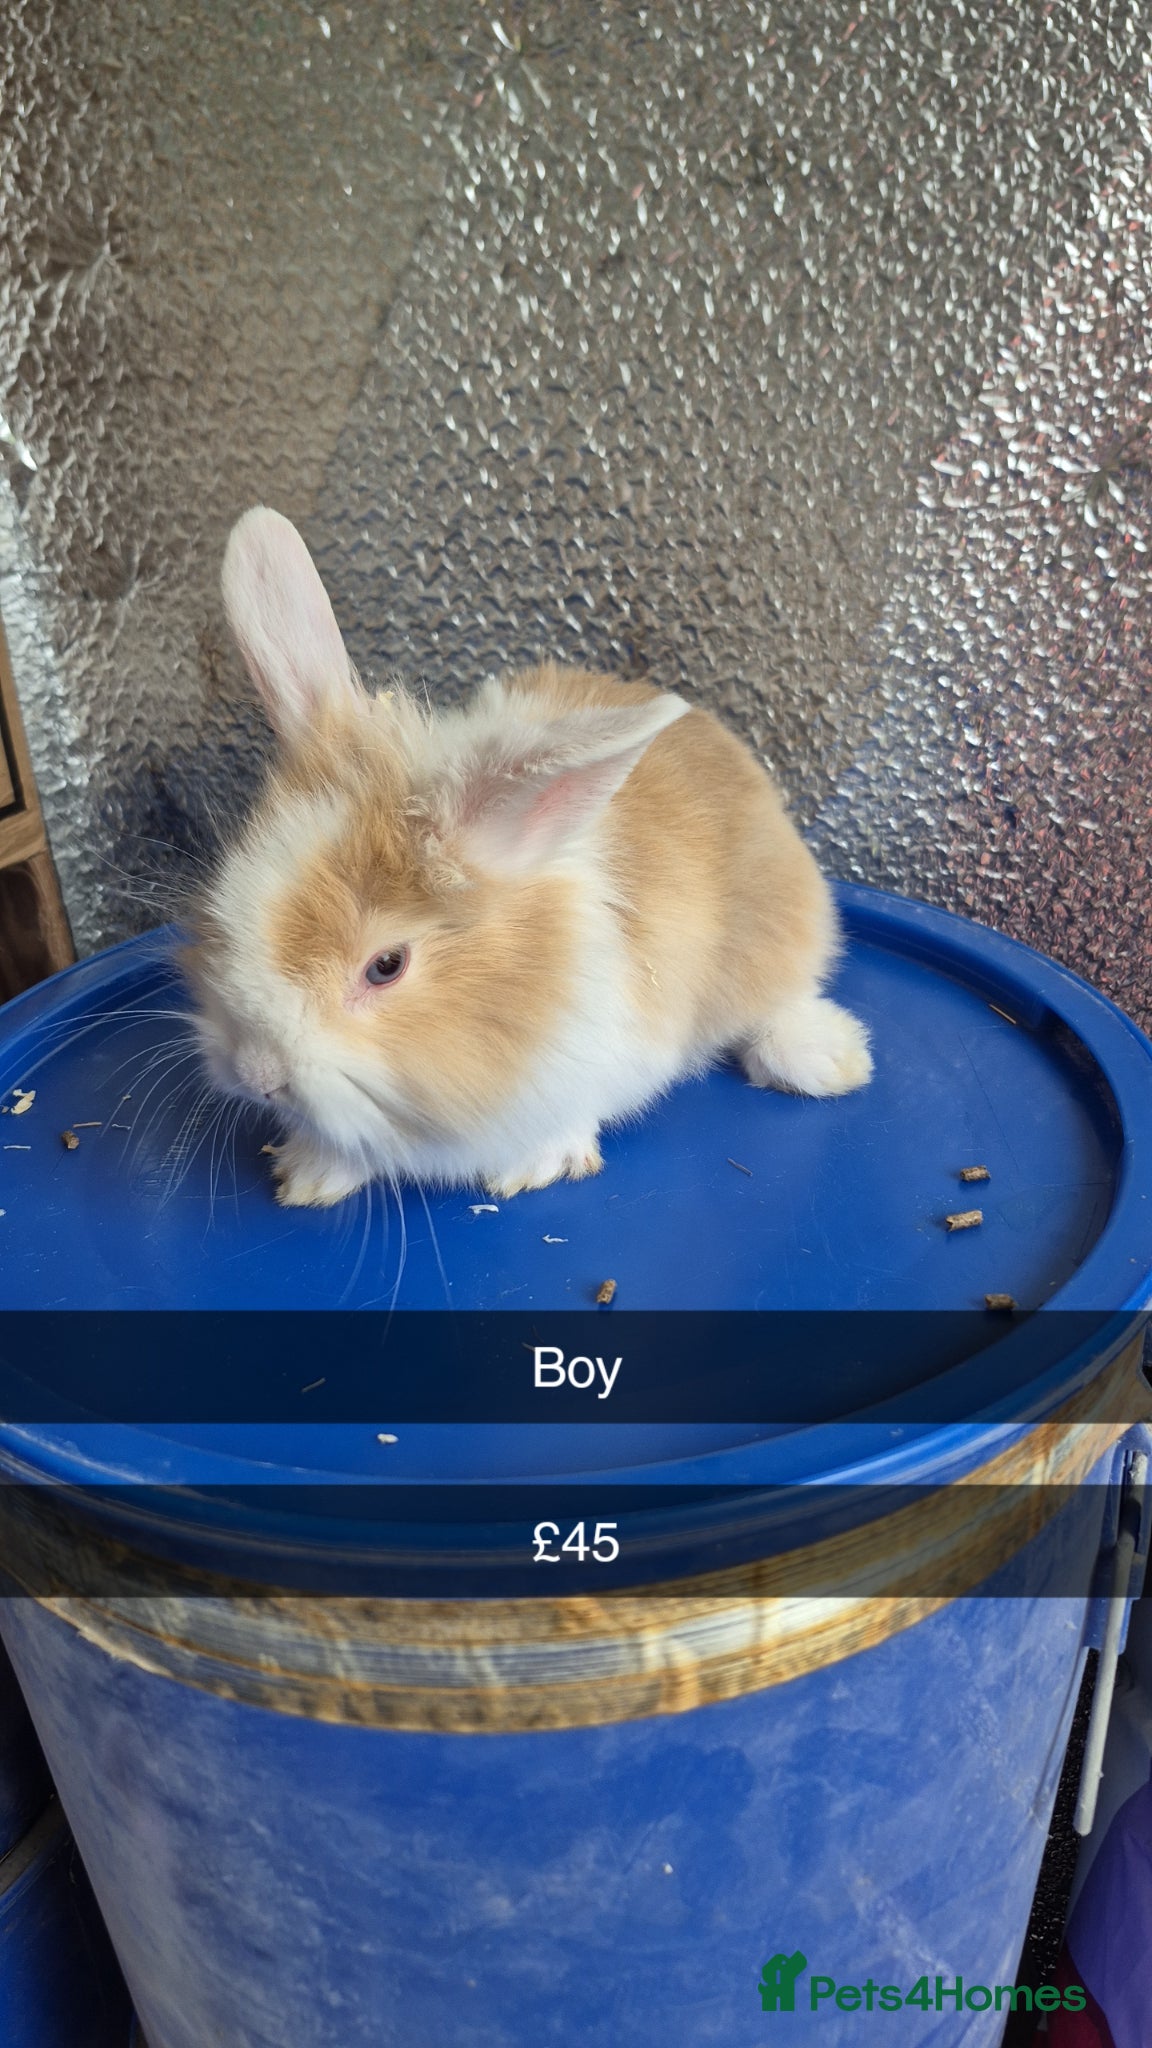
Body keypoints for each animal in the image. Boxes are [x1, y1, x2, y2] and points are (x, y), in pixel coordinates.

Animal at [182, 507, 872, 1207]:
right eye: (219, 908)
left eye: (386, 966)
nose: (257, 1074)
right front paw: (309, 1173)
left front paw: (532, 1167)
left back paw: (831, 1059)